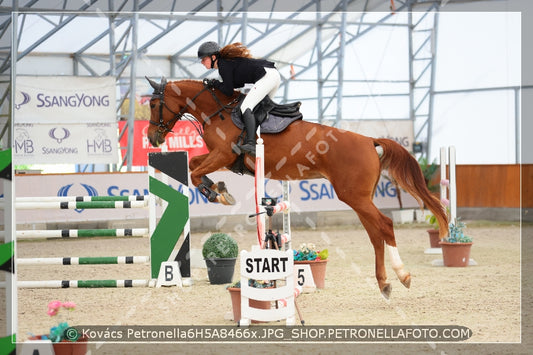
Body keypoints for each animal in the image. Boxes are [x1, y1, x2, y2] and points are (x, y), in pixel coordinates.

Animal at [144, 78, 444, 300]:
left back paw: (402, 275)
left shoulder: (223, 155)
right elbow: (194, 165)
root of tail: (369, 140)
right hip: (360, 199)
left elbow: (194, 171)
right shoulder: (222, 159)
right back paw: (384, 284)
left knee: (385, 225)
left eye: (154, 103)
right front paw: (218, 188)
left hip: (354, 197)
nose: (152, 137)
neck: (218, 112)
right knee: (375, 236)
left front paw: (217, 193)